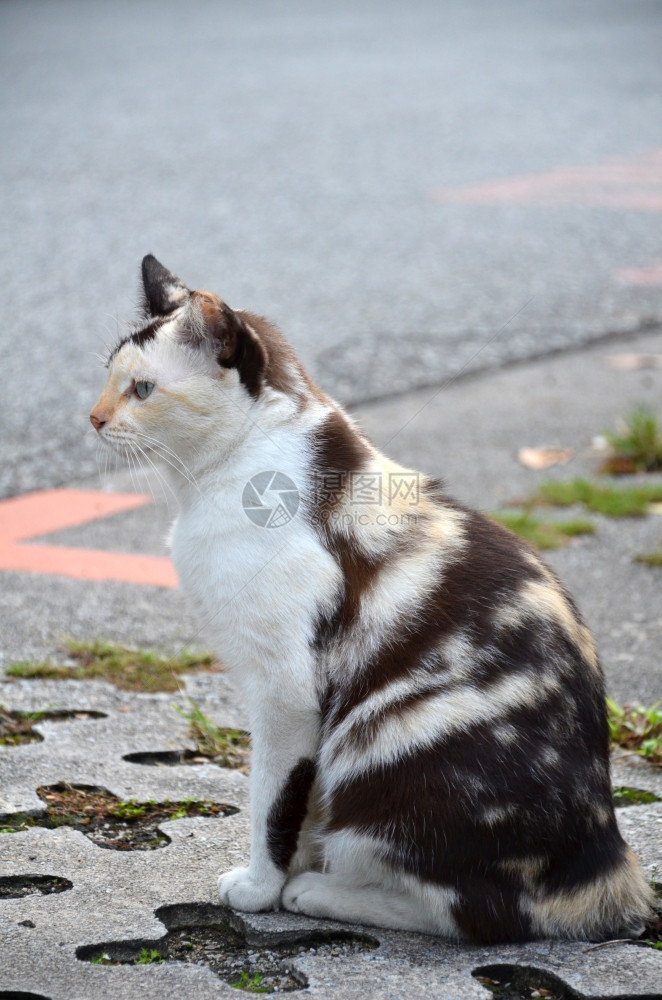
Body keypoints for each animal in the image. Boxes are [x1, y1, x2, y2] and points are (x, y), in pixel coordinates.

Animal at [91, 258, 656, 944]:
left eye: (143, 389)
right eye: (109, 380)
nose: (93, 418)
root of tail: (606, 859)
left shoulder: (285, 693)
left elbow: (270, 803)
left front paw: (263, 887)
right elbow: (302, 810)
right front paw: (290, 868)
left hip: (387, 752)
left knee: (478, 911)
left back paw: (323, 893)